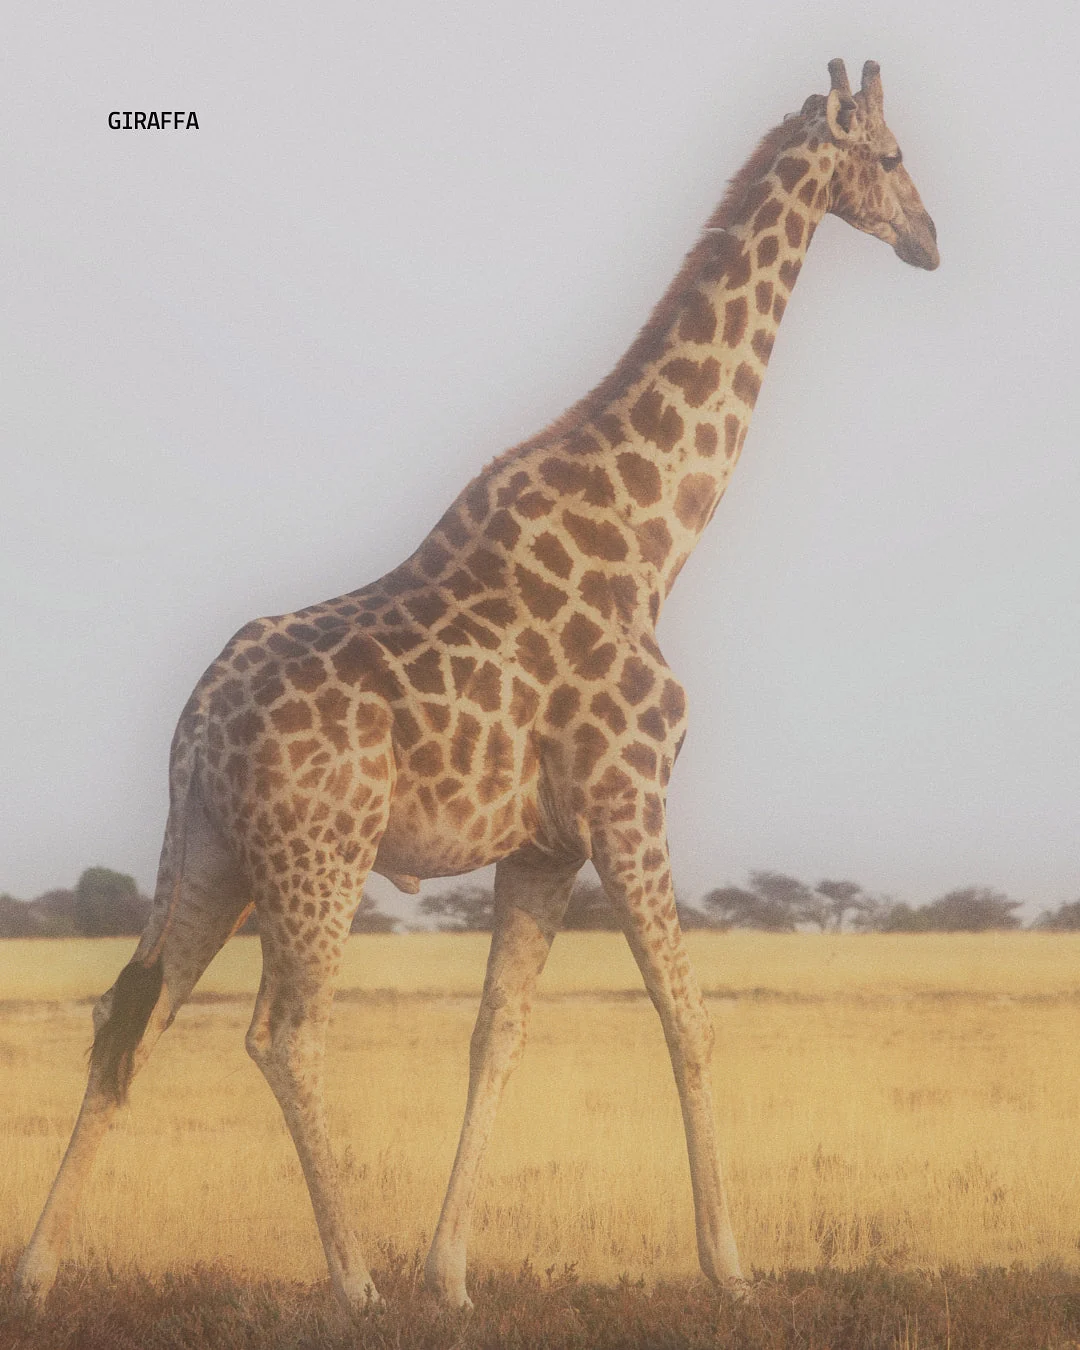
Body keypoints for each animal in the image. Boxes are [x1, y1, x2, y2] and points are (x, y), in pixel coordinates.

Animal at [16, 59, 937, 1312]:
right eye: (892, 157)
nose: (930, 240)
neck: (652, 539)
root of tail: (193, 726)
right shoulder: (627, 803)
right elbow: (687, 1019)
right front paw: (731, 1267)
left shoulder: (542, 844)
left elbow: (497, 1034)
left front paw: (451, 1275)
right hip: (318, 855)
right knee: (283, 1035)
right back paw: (351, 1283)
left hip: (208, 851)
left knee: (132, 1017)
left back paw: (38, 1272)